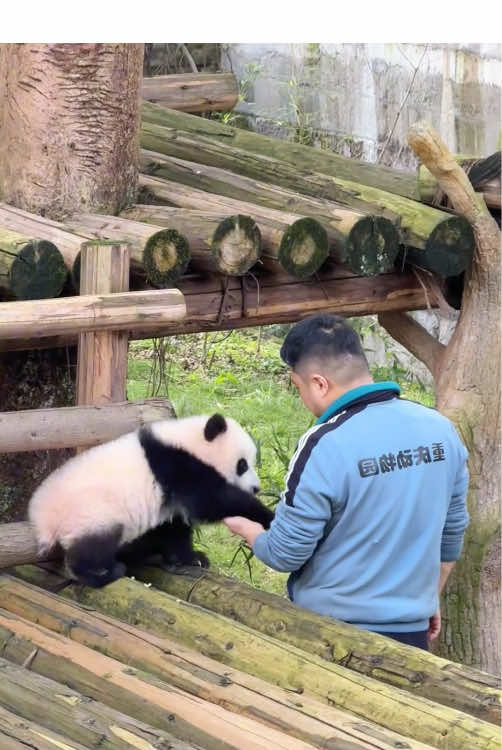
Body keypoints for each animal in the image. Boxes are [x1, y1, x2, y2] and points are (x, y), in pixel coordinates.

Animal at [28, 413, 273, 588]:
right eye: (242, 464)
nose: (256, 488)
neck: (189, 442)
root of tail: (43, 519)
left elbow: (174, 528)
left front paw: (192, 558)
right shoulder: (181, 467)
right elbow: (212, 503)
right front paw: (266, 516)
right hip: (92, 513)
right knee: (92, 549)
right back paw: (103, 573)